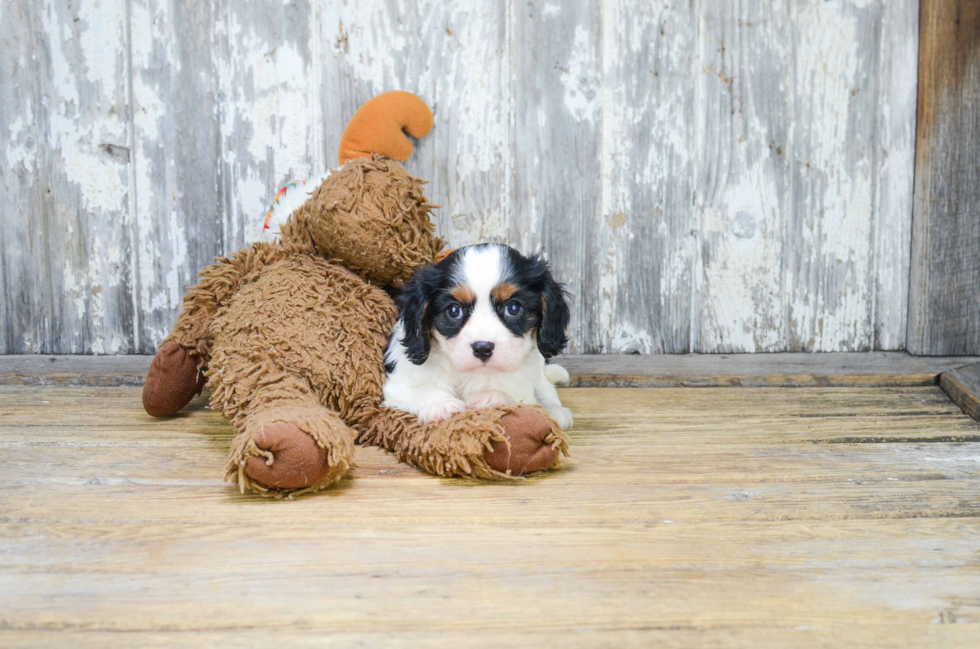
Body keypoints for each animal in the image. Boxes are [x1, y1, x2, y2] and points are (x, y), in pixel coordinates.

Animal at [382, 240, 576, 428]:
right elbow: (421, 390)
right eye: (454, 310)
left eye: (513, 308)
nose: (483, 348)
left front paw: (491, 396)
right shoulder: (400, 384)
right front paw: (442, 406)